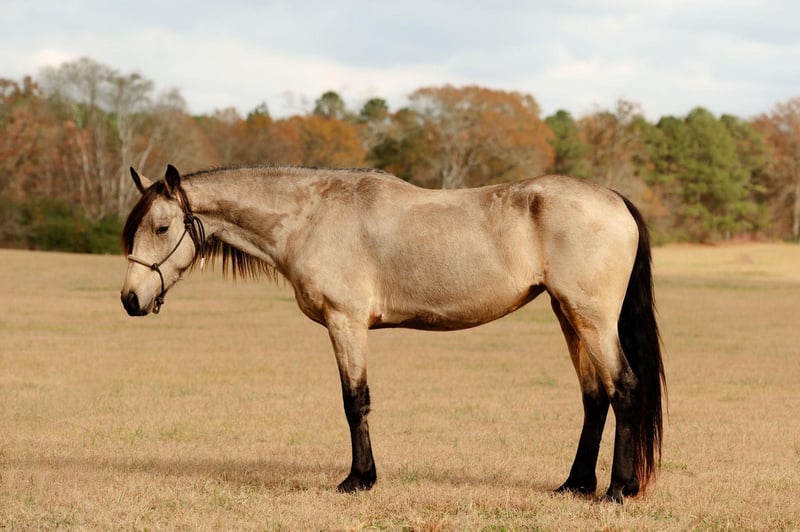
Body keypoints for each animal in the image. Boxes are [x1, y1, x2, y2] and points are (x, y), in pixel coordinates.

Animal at [120, 164, 665, 503]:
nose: (130, 299)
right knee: (595, 397)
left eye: (162, 227)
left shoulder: (346, 324)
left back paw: (617, 490)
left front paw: (359, 480)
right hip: (568, 316)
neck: (312, 216)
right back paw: (575, 484)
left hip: (591, 319)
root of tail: (614, 199)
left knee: (624, 388)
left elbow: (354, 401)